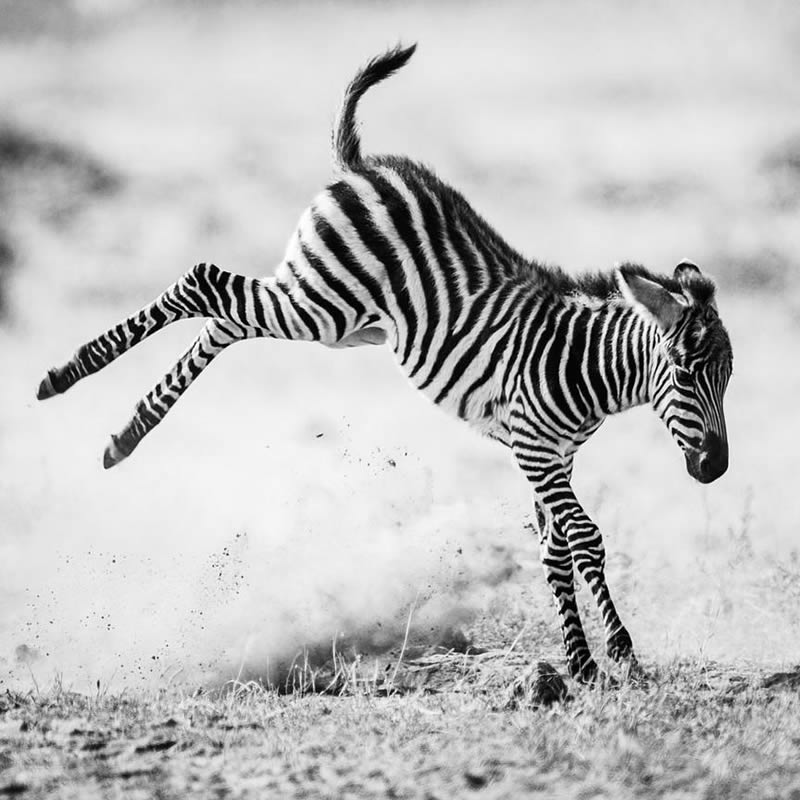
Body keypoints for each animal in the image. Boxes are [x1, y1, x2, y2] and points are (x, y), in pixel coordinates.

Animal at [34, 43, 732, 684]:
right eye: (686, 373)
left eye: (726, 379)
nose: (716, 469)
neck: (585, 364)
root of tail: (363, 165)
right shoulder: (534, 446)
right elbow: (585, 540)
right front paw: (622, 655)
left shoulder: (554, 457)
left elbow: (554, 552)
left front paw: (580, 662)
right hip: (324, 303)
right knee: (203, 282)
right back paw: (68, 374)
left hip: (336, 317)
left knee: (226, 318)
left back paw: (126, 432)